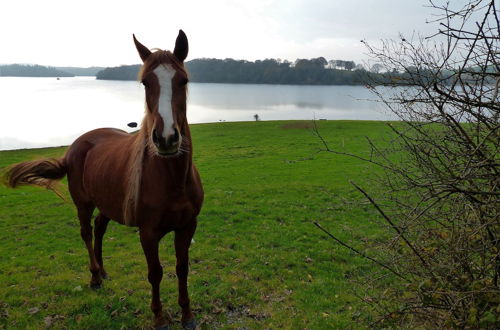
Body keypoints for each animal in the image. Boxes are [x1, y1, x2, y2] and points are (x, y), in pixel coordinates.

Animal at [2, 29, 203, 328]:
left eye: (183, 80)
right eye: (145, 82)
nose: (166, 138)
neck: (173, 179)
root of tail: (76, 146)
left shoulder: (187, 226)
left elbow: (182, 268)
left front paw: (187, 314)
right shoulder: (148, 233)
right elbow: (155, 272)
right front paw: (159, 316)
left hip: (107, 203)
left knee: (99, 227)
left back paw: (103, 270)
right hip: (83, 204)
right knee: (86, 232)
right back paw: (95, 275)